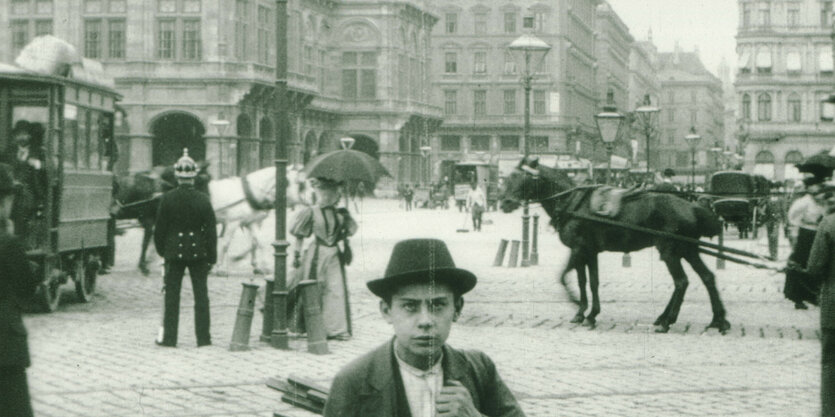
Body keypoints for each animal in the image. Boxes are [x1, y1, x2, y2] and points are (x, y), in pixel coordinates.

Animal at [502, 158, 732, 334]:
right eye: (508, 177)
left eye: (522, 178)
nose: (504, 203)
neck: (572, 201)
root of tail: (692, 207)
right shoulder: (589, 252)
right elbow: (590, 282)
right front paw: (589, 313)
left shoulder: (578, 249)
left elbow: (565, 277)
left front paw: (578, 307)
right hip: (687, 250)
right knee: (707, 277)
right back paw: (717, 320)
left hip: (670, 251)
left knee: (681, 282)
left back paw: (667, 321)